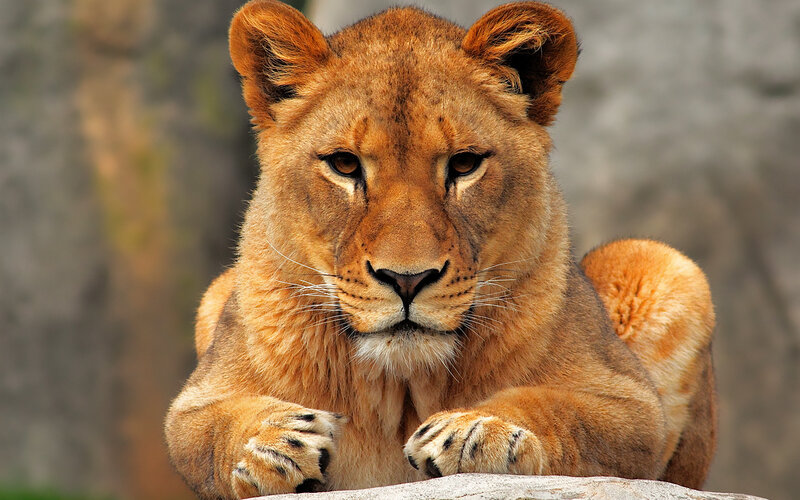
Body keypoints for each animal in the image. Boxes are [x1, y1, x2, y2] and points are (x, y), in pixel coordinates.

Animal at [164, 1, 717, 498]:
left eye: (465, 164)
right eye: (344, 164)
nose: (407, 279)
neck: (403, 388)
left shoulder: (630, 404)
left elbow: (559, 409)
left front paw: (479, 429)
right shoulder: (196, 400)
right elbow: (208, 428)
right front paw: (270, 443)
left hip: (662, 264)